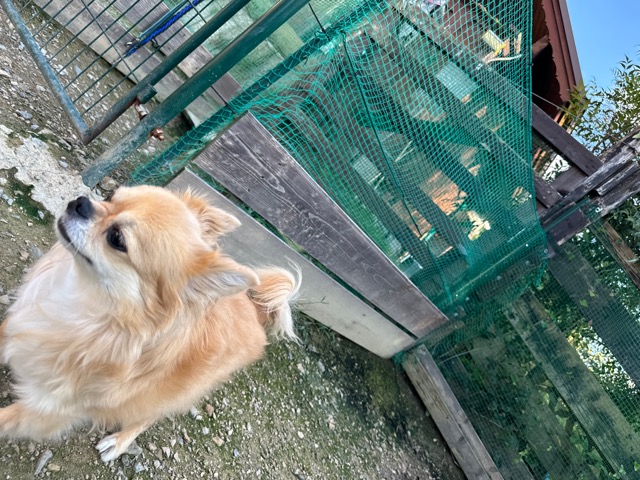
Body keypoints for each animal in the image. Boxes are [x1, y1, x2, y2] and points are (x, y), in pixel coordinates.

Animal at [0, 185, 299, 462]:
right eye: (109, 197)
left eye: (117, 239)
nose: (81, 202)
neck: (81, 302)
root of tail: (255, 310)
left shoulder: (48, 408)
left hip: (167, 393)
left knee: (147, 415)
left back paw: (119, 441)